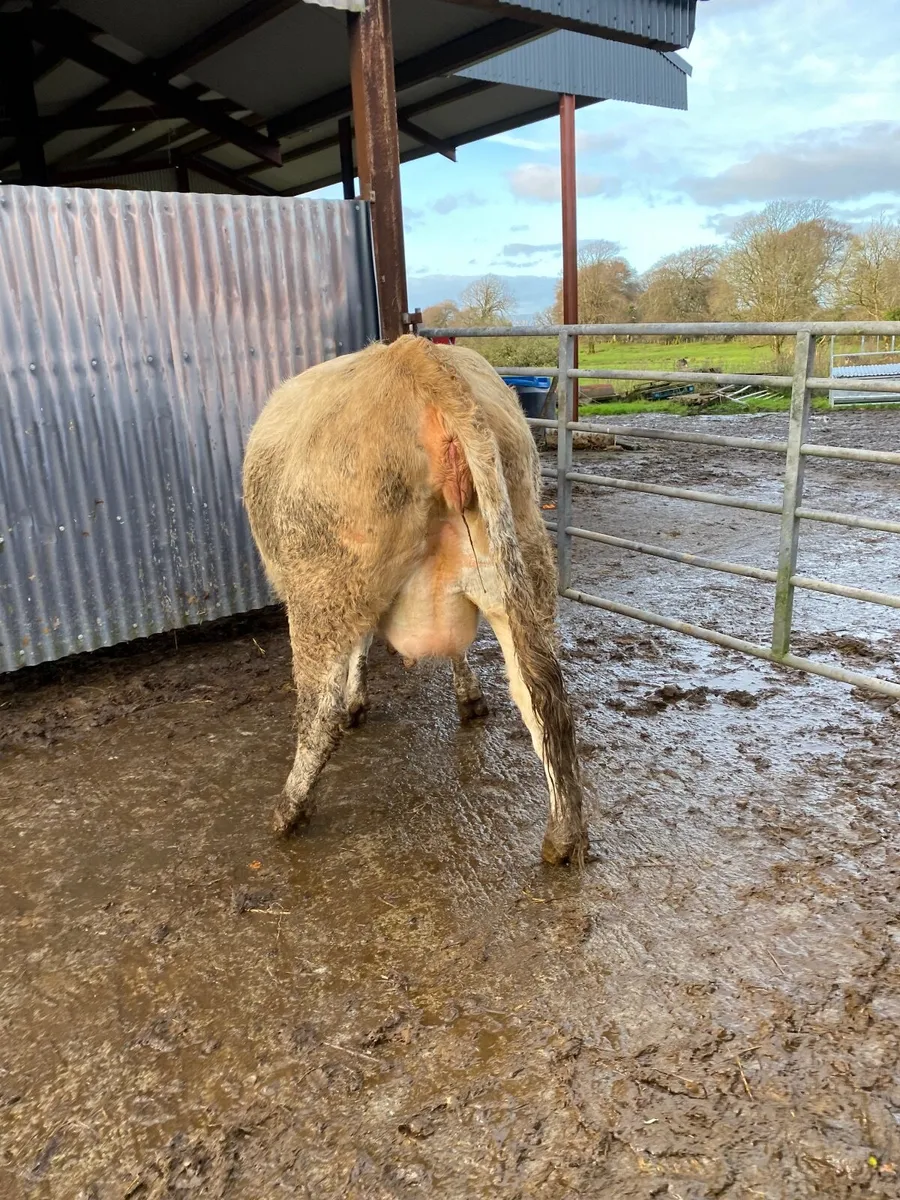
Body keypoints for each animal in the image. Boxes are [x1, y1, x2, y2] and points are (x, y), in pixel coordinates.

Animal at [242, 335, 587, 865]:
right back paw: (564, 838)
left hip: (323, 585)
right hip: (518, 568)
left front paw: (356, 699)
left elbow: (356, 651)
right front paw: (467, 697)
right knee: (543, 697)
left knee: (319, 714)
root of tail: (415, 355)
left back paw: (289, 810)